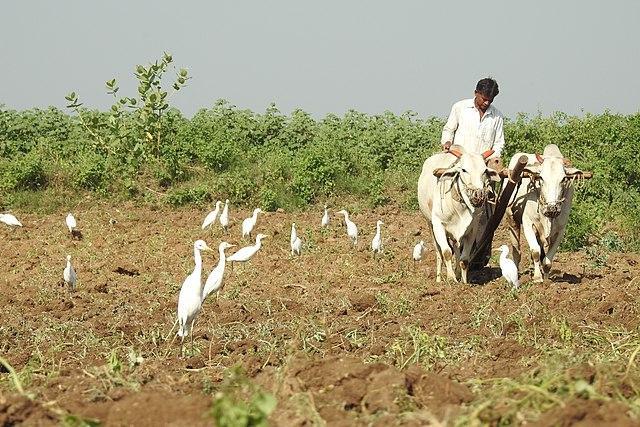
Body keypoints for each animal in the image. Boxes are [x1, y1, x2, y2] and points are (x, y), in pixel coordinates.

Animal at [417, 146, 500, 283]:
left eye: (484, 171)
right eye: (464, 170)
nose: (478, 196)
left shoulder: (472, 230)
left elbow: (464, 259)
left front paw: (464, 282)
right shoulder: (438, 225)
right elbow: (446, 252)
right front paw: (451, 279)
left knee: (456, 249)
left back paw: (457, 273)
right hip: (429, 224)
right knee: (439, 253)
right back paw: (439, 279)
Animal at [506, 144, 590, 282]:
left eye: (563, 179)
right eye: (541, 177)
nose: (552, 208)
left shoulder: (561, 230)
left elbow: (548, 260)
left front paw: (546, 277)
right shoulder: (528, 222)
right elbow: (535, 251)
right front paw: (537, 277)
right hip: (511, 218)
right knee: (516, 248)